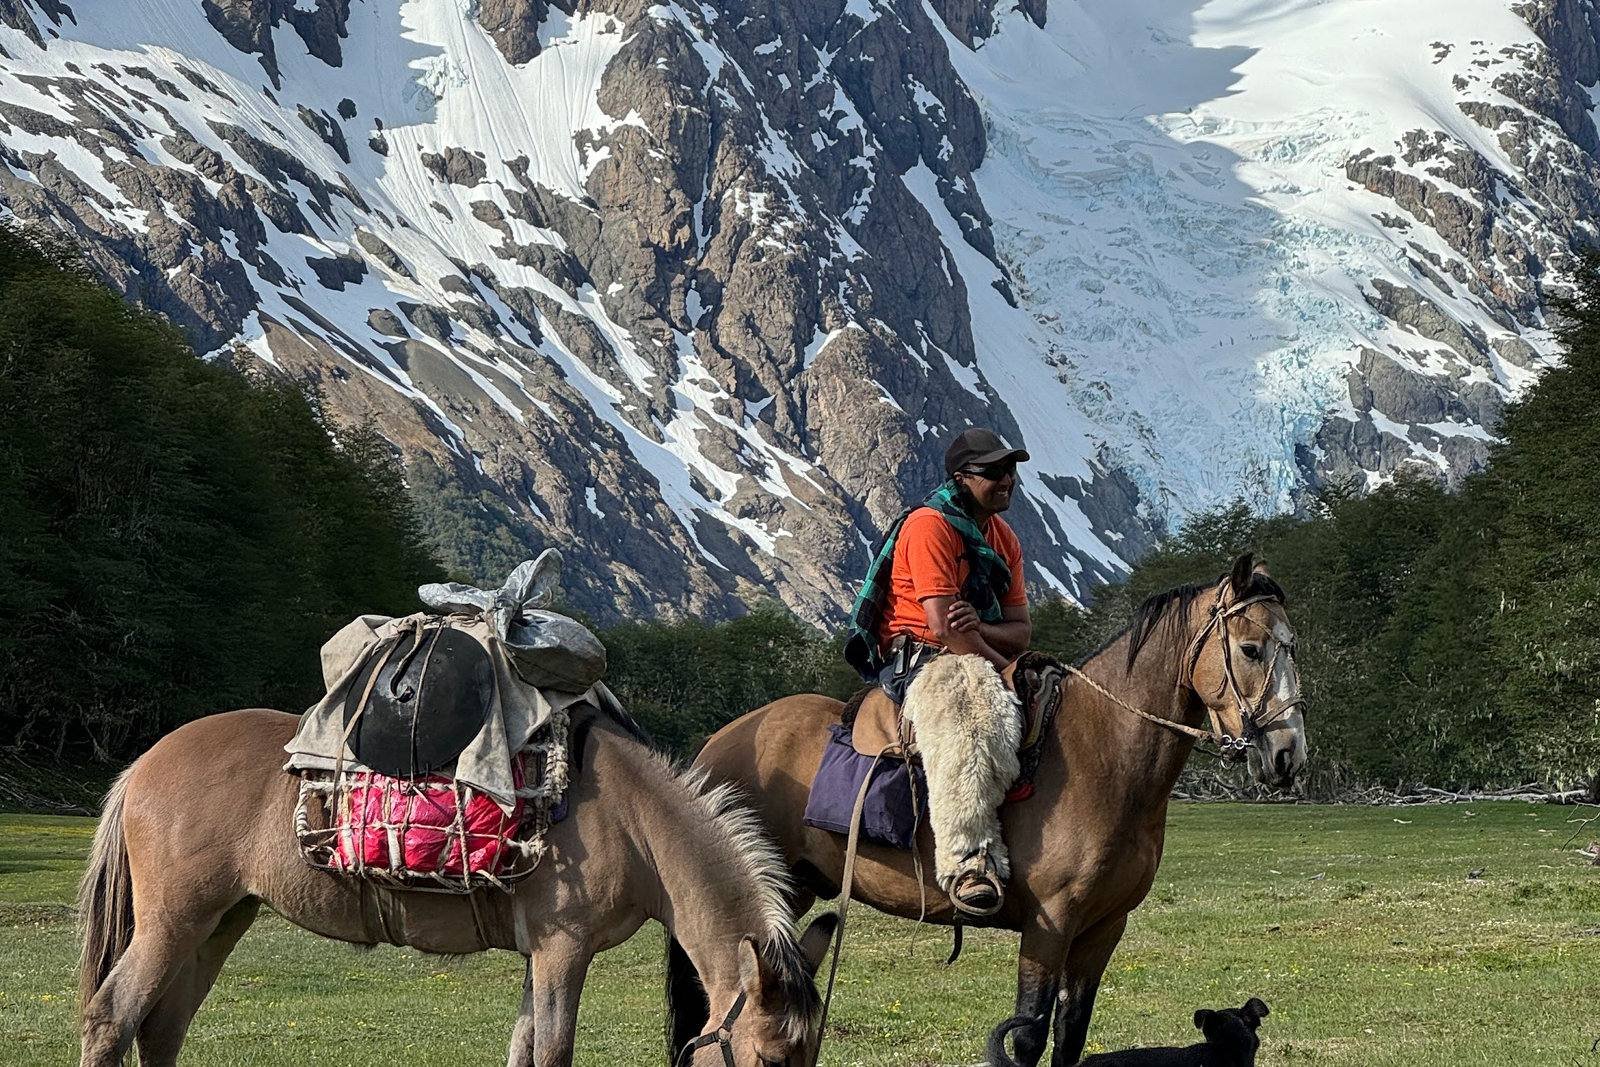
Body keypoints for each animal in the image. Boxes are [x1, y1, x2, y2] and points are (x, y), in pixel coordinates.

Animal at [77, 703, 838, 1067]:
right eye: (772, 1059)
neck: (632, 821)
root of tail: (144, 764)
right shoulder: (564, 951)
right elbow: (553, 1052)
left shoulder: (540, 957)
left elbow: (523, 1051)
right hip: (173, 921)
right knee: (112, 1017)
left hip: (219, 921)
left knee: (161, 1028)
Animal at [670, 554, 1306, 1066]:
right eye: (1251, 648)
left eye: (1292, 647)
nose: (1287, 753)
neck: (1105, 754)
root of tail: (718, 744)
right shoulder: (1050, 926)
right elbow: (1027, 1037)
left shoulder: (1102, 930)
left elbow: (1070, 1036)